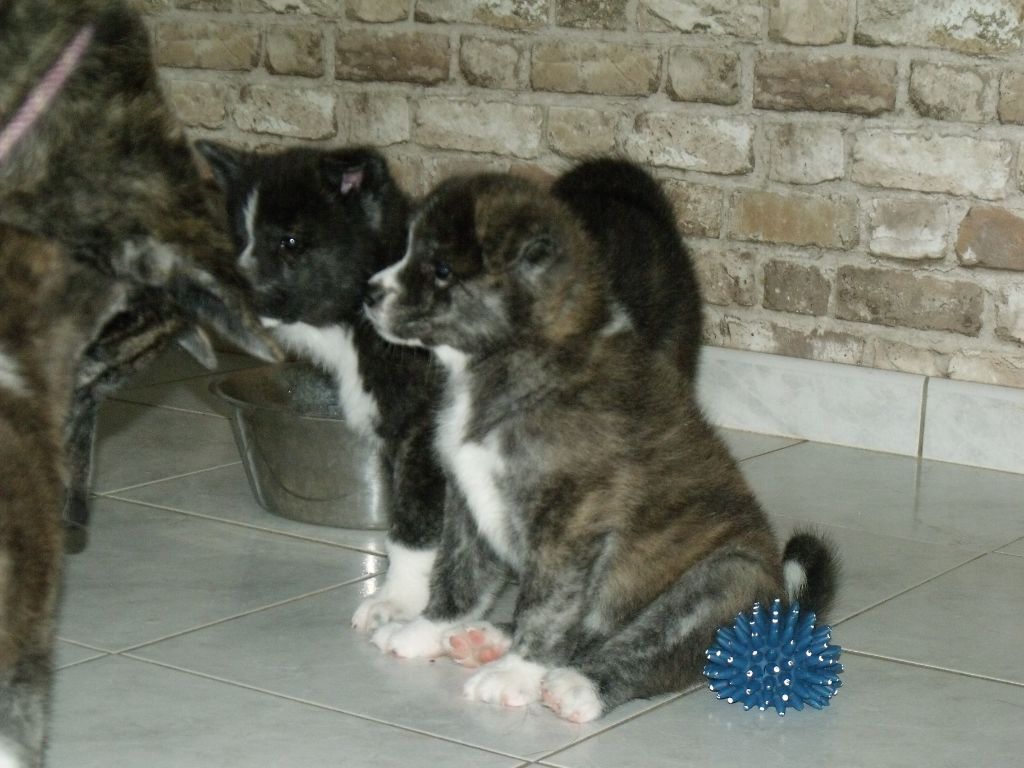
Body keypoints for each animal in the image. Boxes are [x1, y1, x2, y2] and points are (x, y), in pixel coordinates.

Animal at [195, 142, 448, 632]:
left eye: (289, 242)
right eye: (240, 240)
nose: (221, 296)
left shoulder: (424, 436)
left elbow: (413, 523)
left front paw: (397, 601)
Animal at [362, 167, 838, 722]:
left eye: (440, 269)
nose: (368, 294)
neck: (523, 362)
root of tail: (785, 602)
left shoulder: (570, 523)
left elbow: (547, 608)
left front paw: (516, 674)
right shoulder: (467, 501)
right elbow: (460, 575)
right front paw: (427, 629)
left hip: (722, 580)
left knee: (644, 645)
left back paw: (575, 685)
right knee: (589, 629)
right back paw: (485, 639)